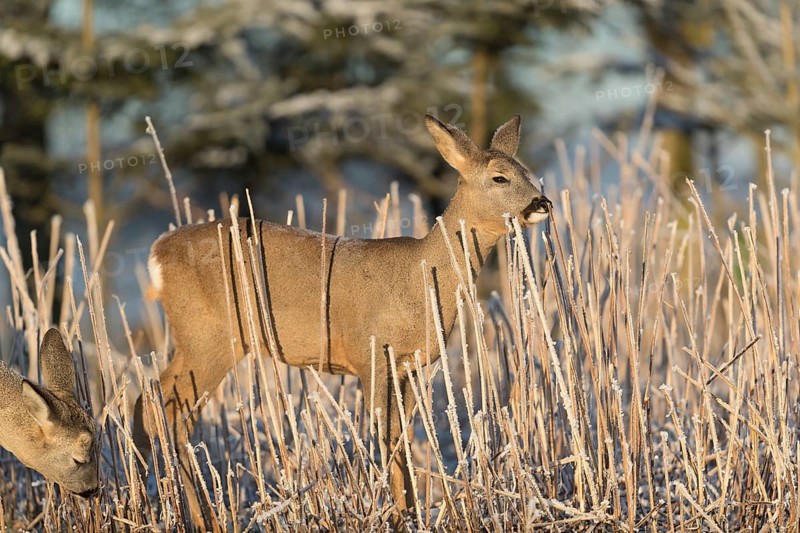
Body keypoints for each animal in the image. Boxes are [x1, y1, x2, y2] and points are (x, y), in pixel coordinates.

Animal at [133, 113, 551, 529]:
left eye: (526, 171)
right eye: (499, 177)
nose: (542, 202)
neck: (421, 276)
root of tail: (155, 255)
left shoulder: (409, 366)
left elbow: (403, 436)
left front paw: (411, 510)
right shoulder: (373, 355)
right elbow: (385, 437)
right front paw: (399, 515)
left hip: (197, 342)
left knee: (146, 399)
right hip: (209, 338)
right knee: (169, 412)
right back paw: (199, 517)